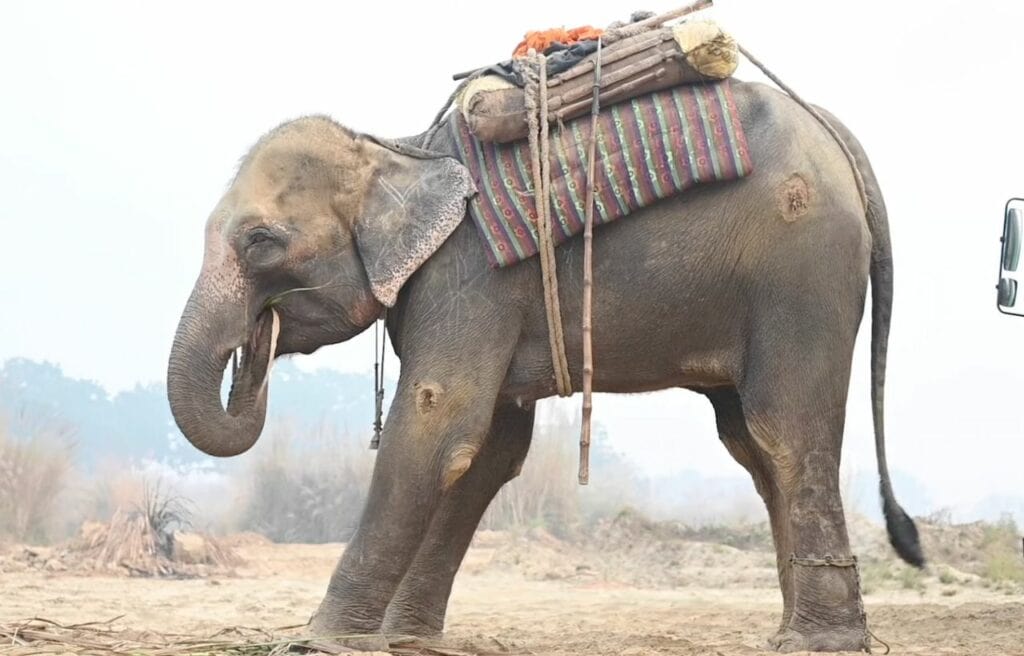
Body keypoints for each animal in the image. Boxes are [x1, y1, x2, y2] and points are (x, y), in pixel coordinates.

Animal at [167, 79, 923, 652]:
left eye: (260, 241)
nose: (258, 341)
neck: (396, 149)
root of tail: (835, 134)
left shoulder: (469, 275)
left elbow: (439, 424)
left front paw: (322, 640)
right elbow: (490, 448)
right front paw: (406, 639)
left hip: (801, 276)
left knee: (783, 434)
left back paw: (817, 643)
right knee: (751, 446)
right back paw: (789, 637)